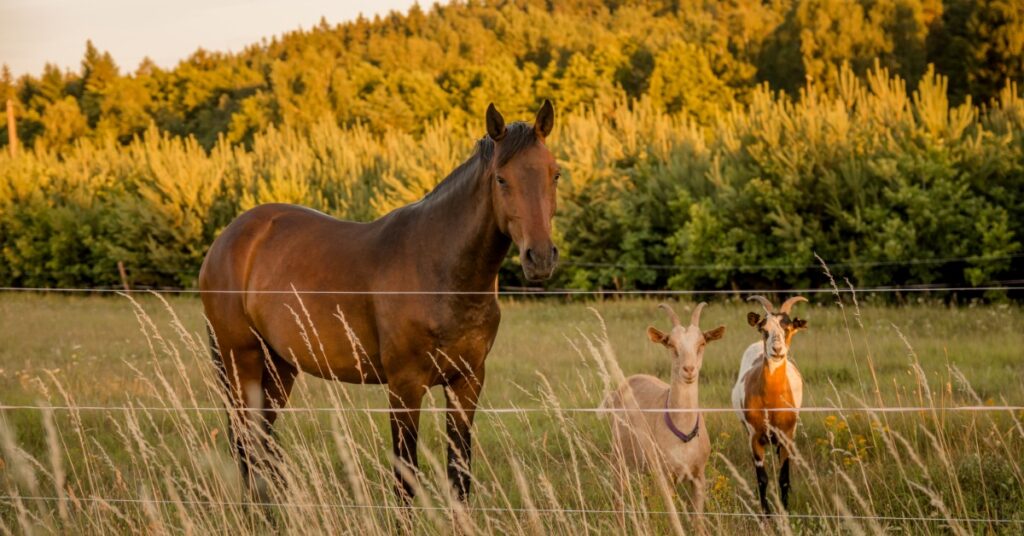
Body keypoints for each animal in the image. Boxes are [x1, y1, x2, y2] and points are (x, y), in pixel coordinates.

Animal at [199, 101, 559, 504]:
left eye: (555, 174)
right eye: (501, 179)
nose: (540, 257)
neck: (438, 268)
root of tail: (229, 237)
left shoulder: (467, 381)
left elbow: (459, 476)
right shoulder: (404, 386)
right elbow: (405, 478)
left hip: (279, 366)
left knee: (260, 444)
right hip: (240, 360)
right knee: (246, 442)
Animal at [604, 302, 726, 516]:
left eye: (702, 343)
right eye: (671, 344)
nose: (689, 369)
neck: (684, 434)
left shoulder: (698, 476)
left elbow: (698, 518)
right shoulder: (666, 477)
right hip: (618, 458)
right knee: (618, 498)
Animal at [731, 295, 808, 514]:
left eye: (788, 328)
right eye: (764, 329)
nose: (777, 350)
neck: (771, 403)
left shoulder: (787, 436)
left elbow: (783, 478)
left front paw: (786, 511)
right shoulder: (755, 437)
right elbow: (762, 479)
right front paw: (766, 514)